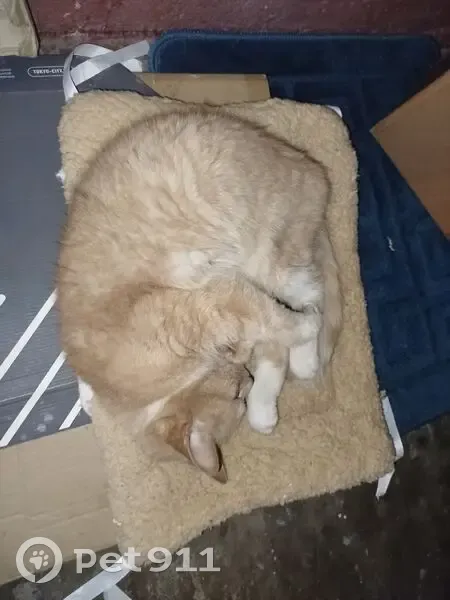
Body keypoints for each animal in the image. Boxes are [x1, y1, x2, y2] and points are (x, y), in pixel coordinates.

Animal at [58, 107, 341, 481]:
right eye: (237, 396)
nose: (247, 382)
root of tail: (309, 165)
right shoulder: (228, 303)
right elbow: (265, 329)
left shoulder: (210, 301)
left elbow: (280, 321)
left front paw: (302, 331)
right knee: (283, 334)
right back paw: (265, 409)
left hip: (268, 257)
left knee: (311, 293)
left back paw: (304, 359)